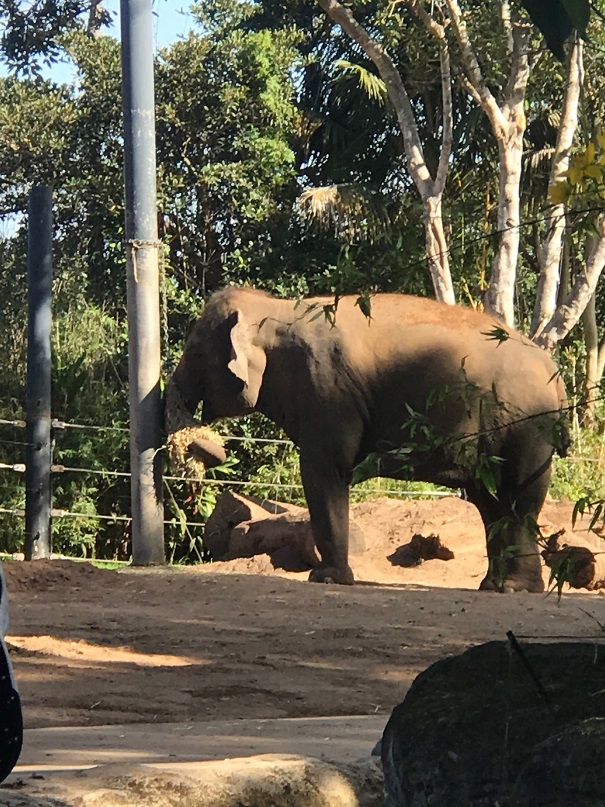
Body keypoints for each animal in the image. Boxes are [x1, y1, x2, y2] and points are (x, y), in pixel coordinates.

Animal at [168, 288, 568, 592]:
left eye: (196, 352)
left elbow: (324, 471)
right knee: (490, 502)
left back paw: (515, 589)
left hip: (528, 426)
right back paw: (493, 586)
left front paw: (326, 580)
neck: (273, 306)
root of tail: (554, 369)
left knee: (517, 497)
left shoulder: (327, 391)